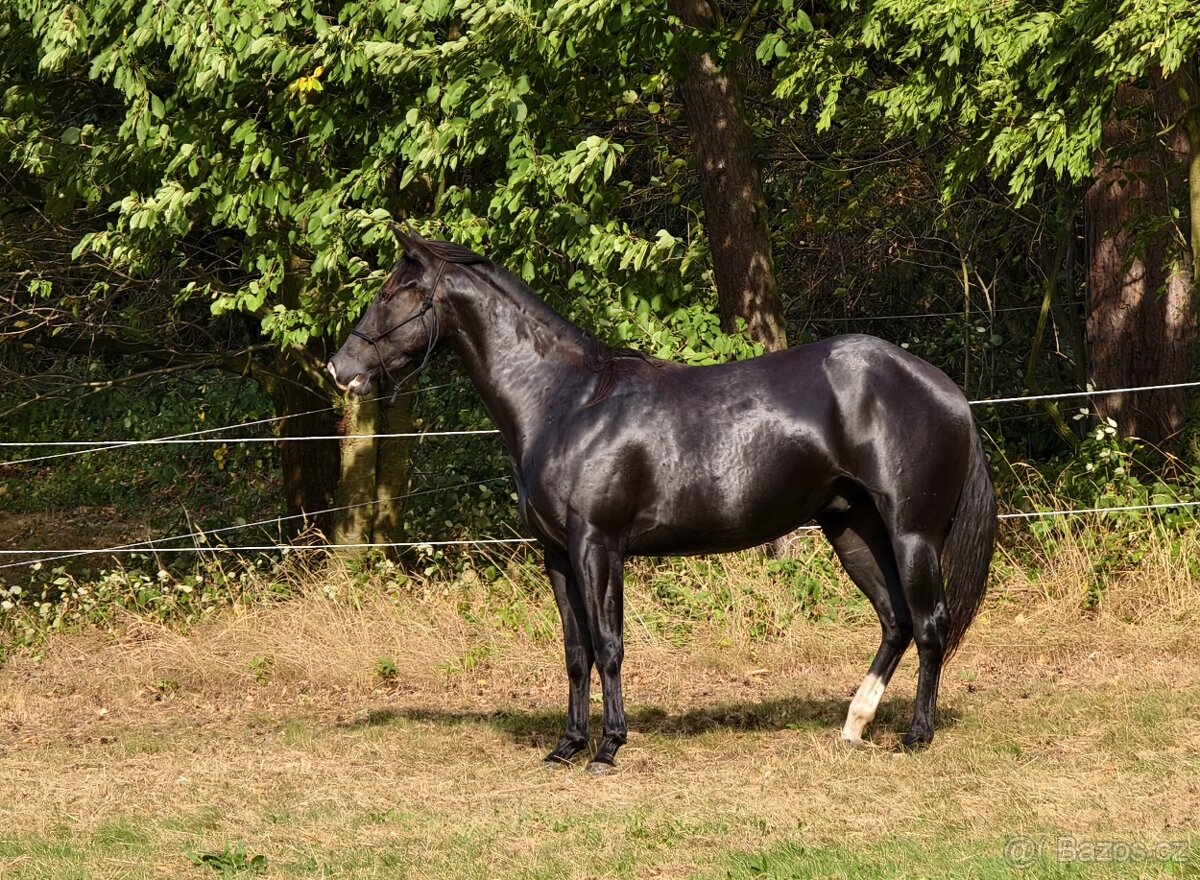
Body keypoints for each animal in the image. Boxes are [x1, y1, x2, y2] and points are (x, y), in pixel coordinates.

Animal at [328, 228, 997, 771]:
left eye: (396, 292)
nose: (340, 368)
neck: (566, 402)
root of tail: (945, 389)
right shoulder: (556, 554)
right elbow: (576, 652)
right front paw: (567, 746)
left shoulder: (598, 545)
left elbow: (608, 645)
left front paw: (607, 748)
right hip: (853, 528)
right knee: (896, 620)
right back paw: (855, 725)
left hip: (911, 533)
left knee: (931, 623)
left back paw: (915, 735)